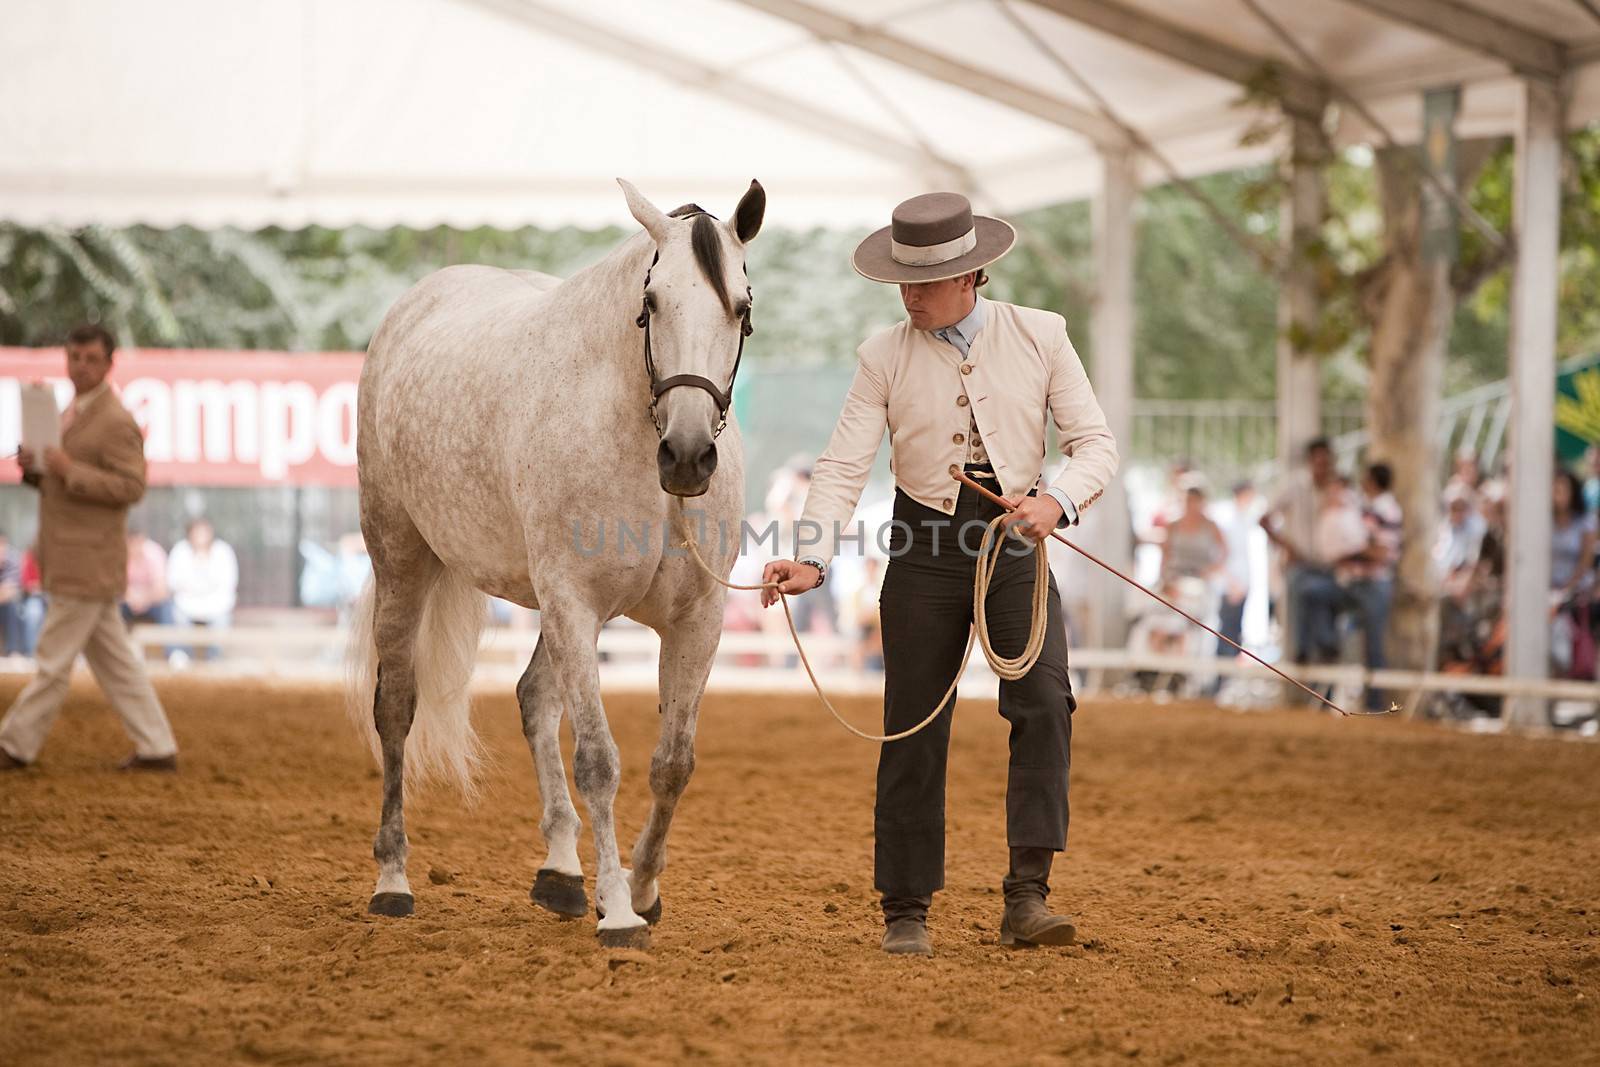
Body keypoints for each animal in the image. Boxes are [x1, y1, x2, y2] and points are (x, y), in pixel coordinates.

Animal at [348, 179, 768, 947]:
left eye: (742, 308)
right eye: (651, 301)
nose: (688, 455)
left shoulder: (696, 619)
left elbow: (673, 763)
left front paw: (641, 888)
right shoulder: (575, 603)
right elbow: (599, 762)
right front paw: (622, 912)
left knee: (532, 700)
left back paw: (562, 873)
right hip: (403, 560)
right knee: (396, 708)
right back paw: (393, 878)